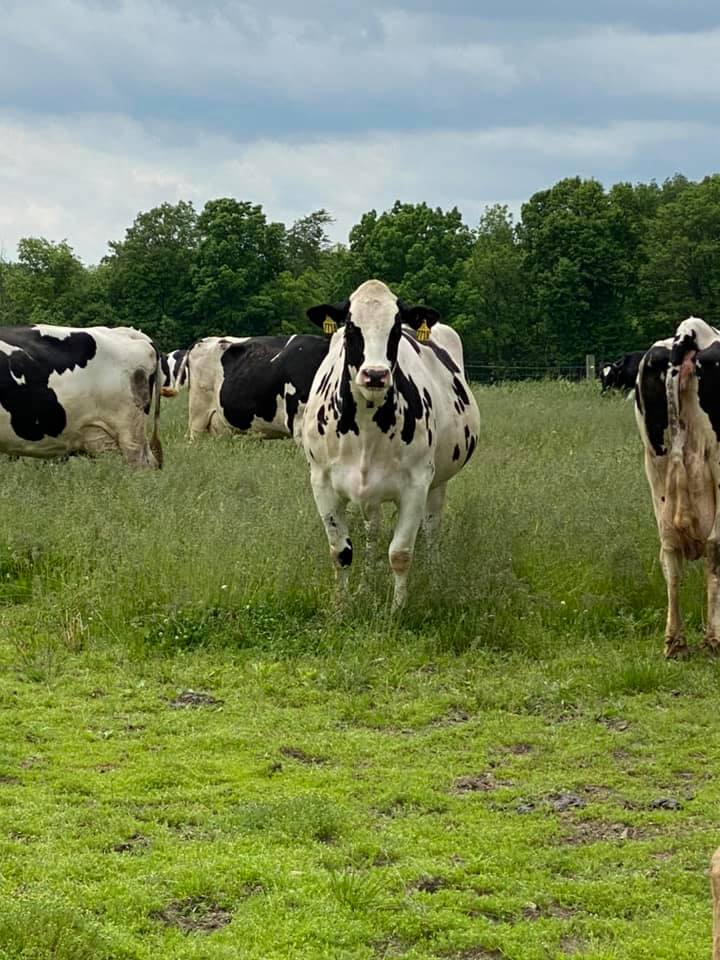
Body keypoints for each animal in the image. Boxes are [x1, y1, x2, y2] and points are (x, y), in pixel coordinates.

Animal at [302, 279, 480, 609]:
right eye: (350, 327)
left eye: (396, 329)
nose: (375, 374)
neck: (366, 426)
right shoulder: (321, 482)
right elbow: (340, 552)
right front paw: (341, 605)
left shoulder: (416, 484)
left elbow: (400, 553)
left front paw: (397, 609)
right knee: (372, 533)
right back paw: (366, 585)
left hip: (438, 482)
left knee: (432, 528)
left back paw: (435, 577)